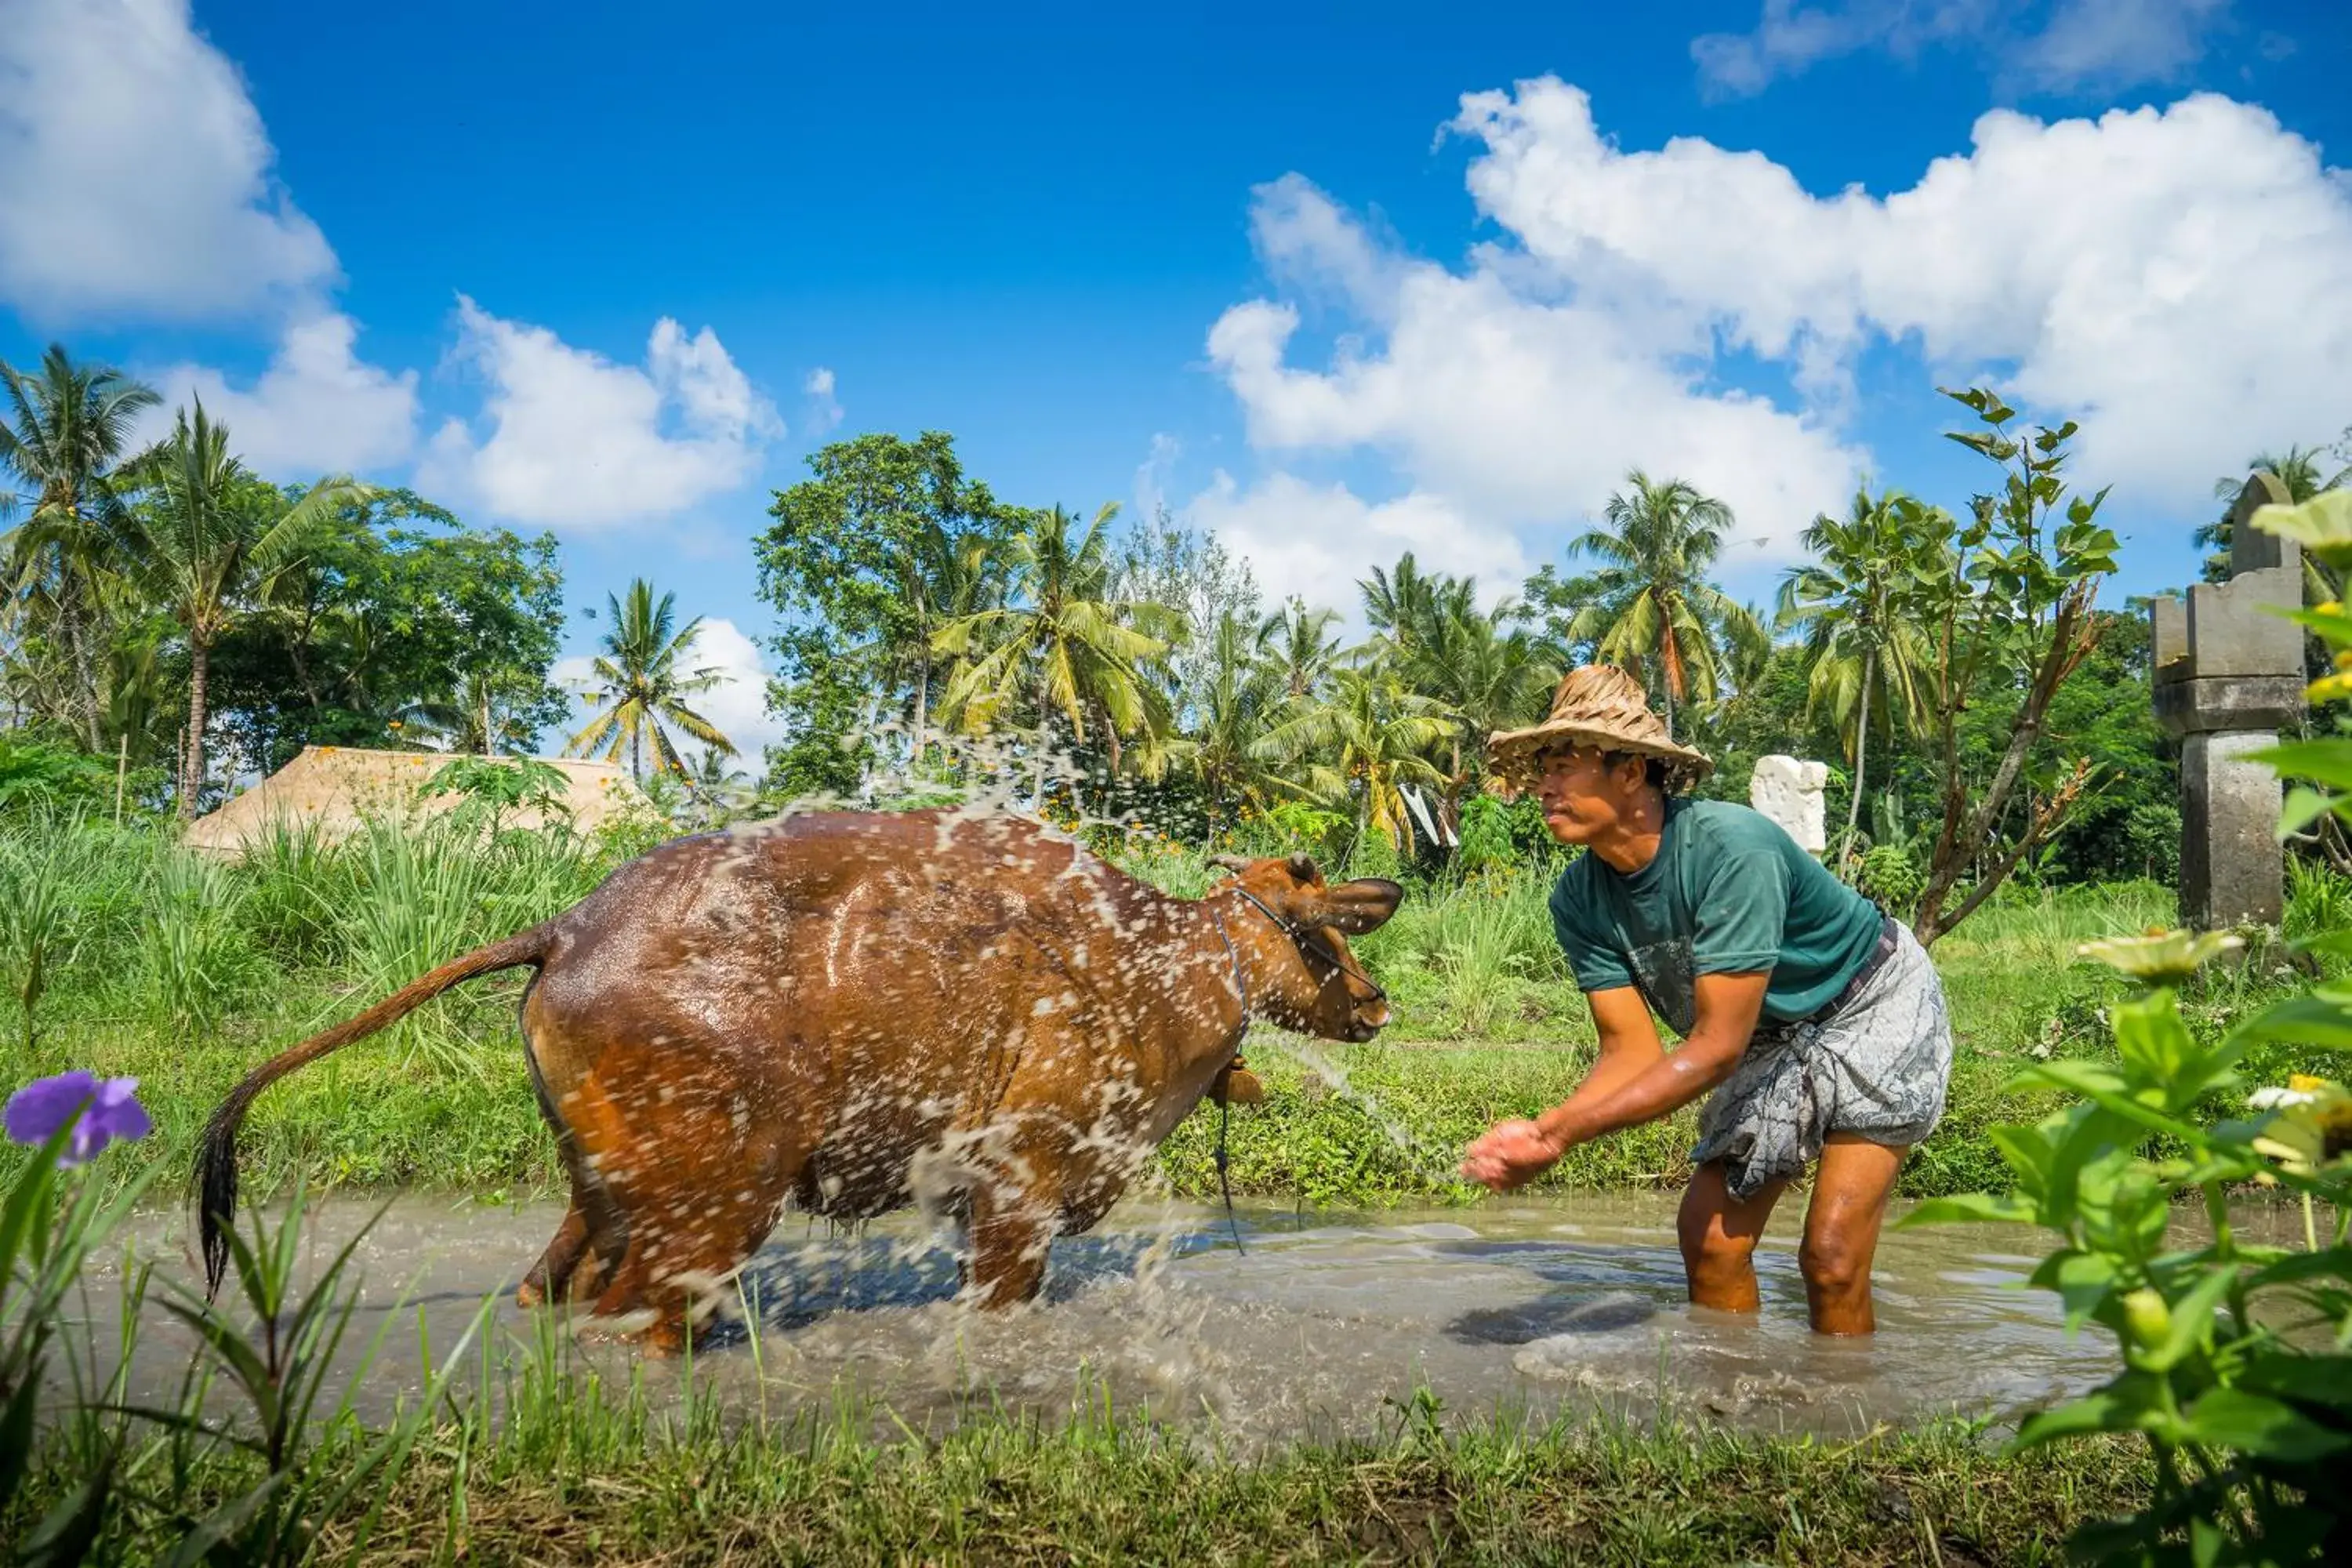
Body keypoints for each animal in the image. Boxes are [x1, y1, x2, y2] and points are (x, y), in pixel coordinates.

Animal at [198, 808, 1392, 1354]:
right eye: (1322, 927)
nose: (1379, 1004)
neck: (1164, 963)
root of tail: (567, 929)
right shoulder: (1019, 1187)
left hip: (602, 1187)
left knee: (550, 1286)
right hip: (720, 1197)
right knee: (638, 1318)